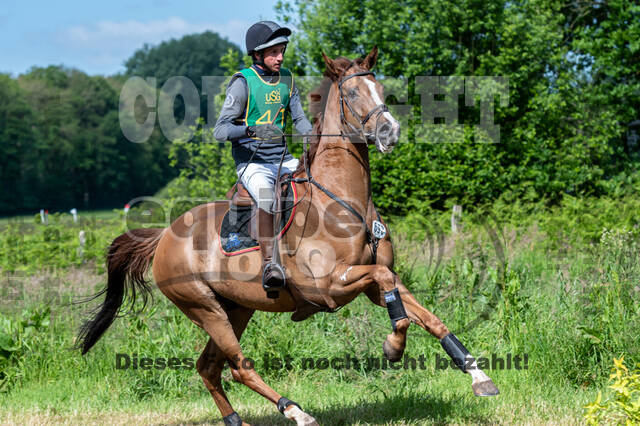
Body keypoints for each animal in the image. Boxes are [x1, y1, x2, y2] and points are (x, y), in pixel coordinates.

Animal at [77, 47, 499, 426]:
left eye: (381, 89)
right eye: (351, 94)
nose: (389, 132)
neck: (345, 203)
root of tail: (164, 234)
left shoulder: (373, 285)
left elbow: (426, 317)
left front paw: (478, 376)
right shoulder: (329, 287)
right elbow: (394, 300)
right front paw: (393, 349)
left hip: (236, 308)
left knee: (209, 367)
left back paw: (239, 421)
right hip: (203, 307)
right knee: (238, 366)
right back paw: (296, 411)